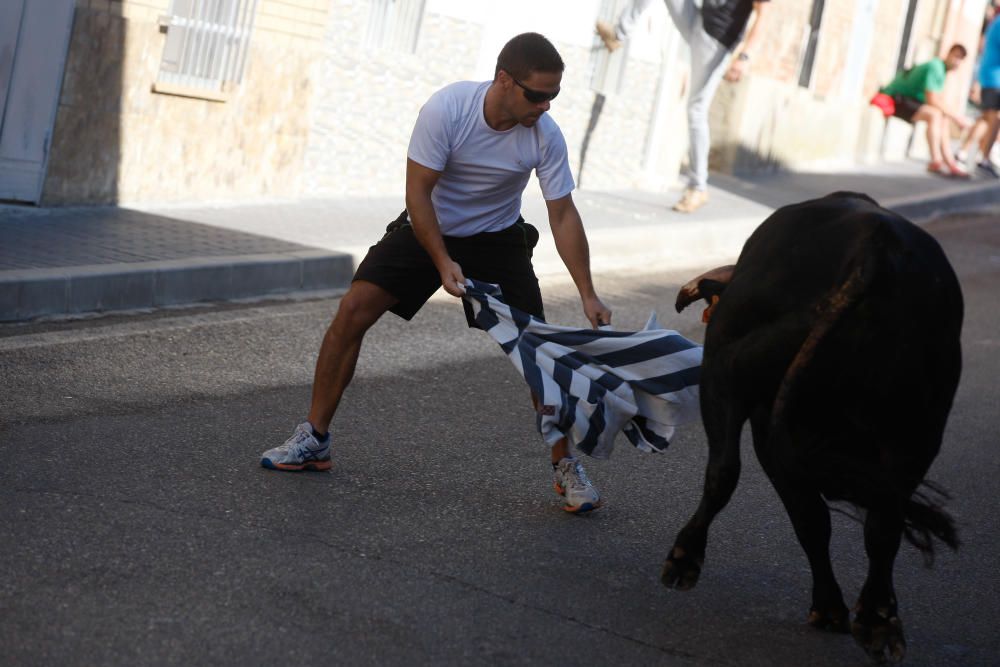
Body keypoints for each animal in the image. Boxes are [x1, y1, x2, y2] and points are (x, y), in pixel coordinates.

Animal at [668, 192, 964, 664]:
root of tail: (874, 252)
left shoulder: (765, 429)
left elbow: (803, 517)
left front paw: (827, 607)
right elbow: (821, 519)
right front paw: (832, 608)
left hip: (726, 371)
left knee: (725, 471)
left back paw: (685, 556)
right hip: (918, 431)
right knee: (885, 520)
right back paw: (878, 620)